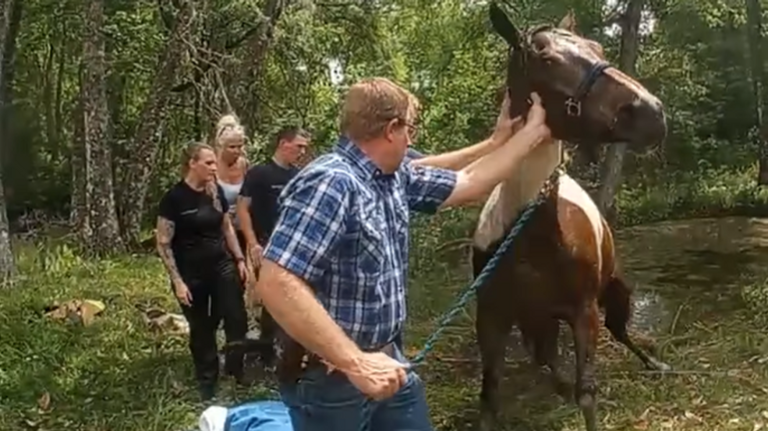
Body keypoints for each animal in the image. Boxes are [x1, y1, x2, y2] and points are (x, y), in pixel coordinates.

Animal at [472, 3, 676, 431]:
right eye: (546, 59)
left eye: (597, 47)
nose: (651, 113)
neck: (528, 235)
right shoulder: (492, 317)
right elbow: (490, 397)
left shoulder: (584, 313)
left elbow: (588, 394)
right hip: (540, 319)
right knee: (547, 356)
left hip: (613, 292)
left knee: (620, 331)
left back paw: (655, 364)